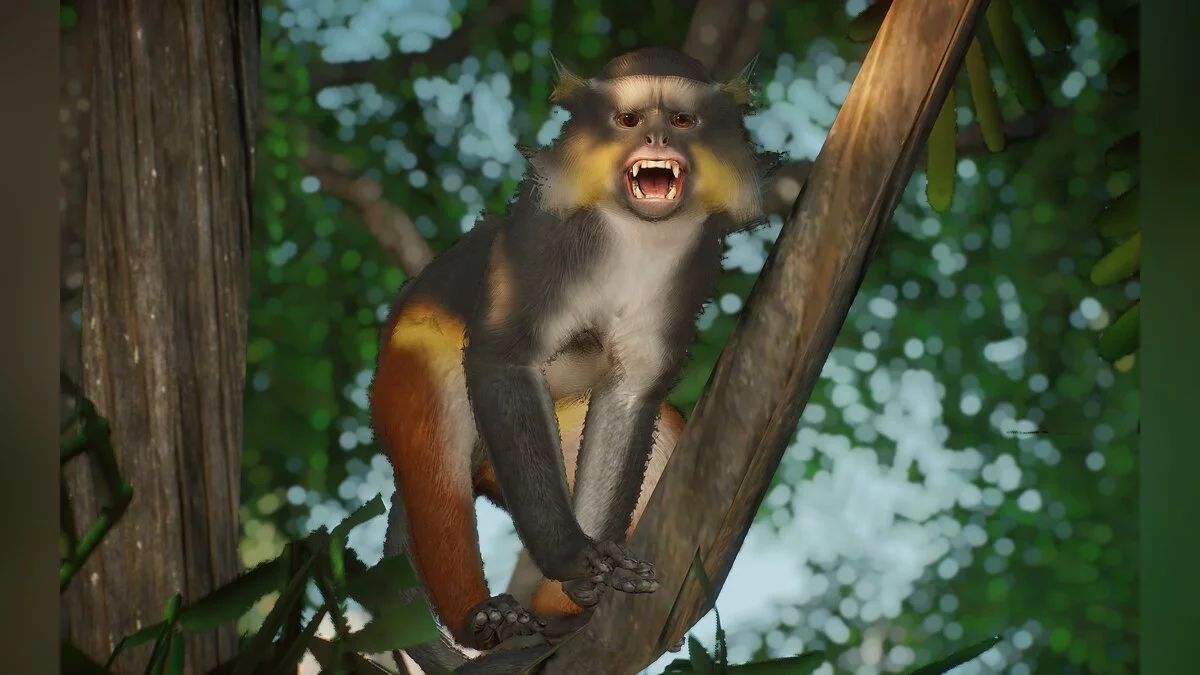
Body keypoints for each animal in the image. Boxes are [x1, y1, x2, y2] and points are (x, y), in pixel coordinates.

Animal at [369, 46, 777, 652]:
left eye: (681, 120)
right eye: (630, 119)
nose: (657, 138)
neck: (633, 234)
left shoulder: (694, 263)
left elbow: (633, 390)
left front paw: (593, 579)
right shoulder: (543, 243)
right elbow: (504, 357)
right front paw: (572, 558)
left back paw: (561, 611)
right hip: (407, 369)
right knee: (435, 468)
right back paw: (483, 617)